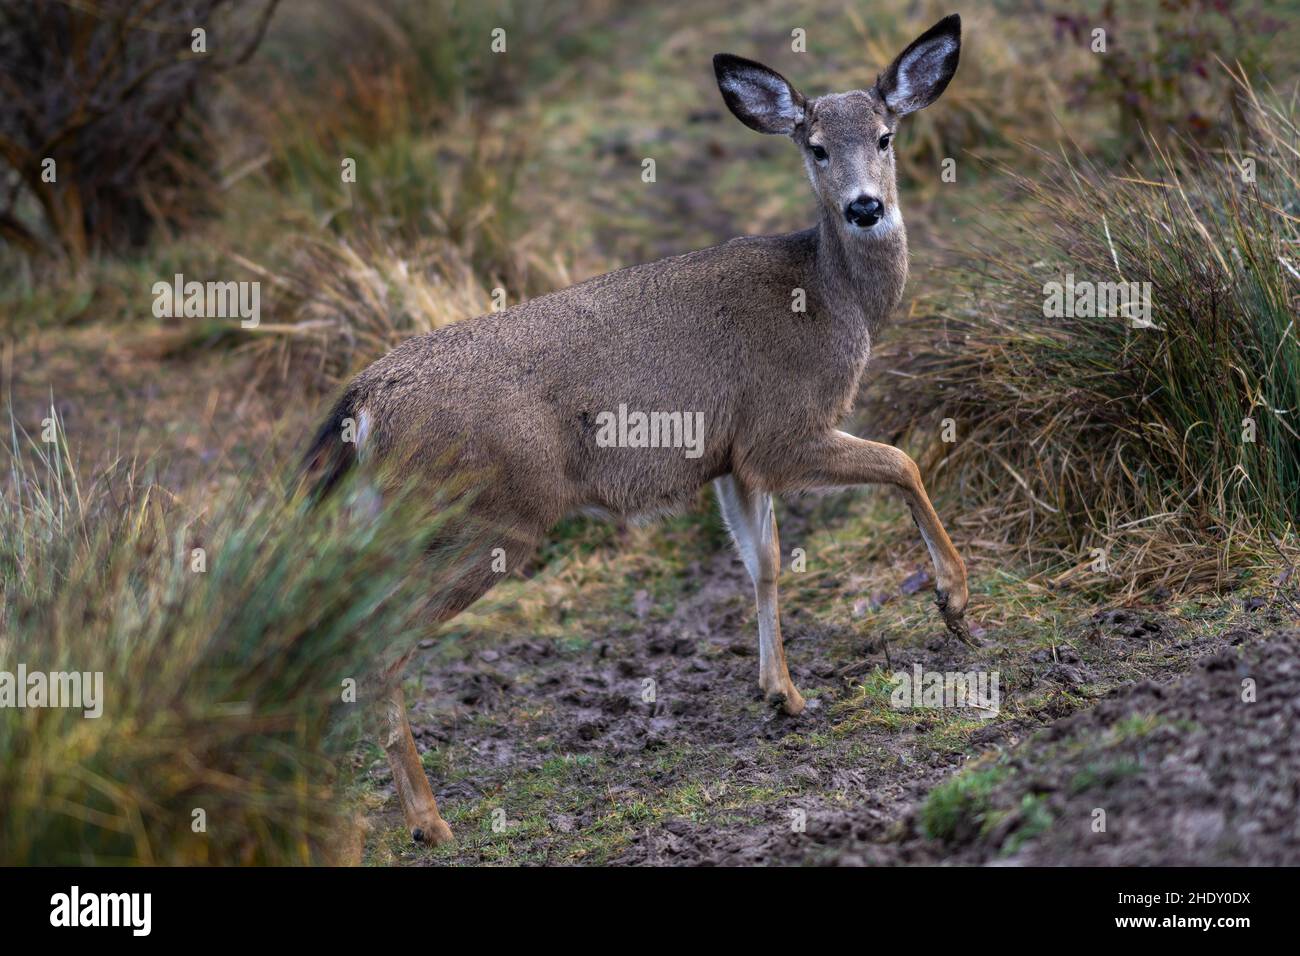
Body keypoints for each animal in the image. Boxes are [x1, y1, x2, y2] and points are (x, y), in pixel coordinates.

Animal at [303, 14, 971, 847]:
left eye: (885, 135)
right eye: (816, 146)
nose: (865, 208)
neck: (828, 295)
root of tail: (364, 402)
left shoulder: (732, 457)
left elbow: (764, 562)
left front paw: (782, 693)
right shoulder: (782, 429)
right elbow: (902, 462)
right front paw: (953, 600)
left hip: (394, 520)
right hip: (486, 516)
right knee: (383, 641)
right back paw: (430, 821)